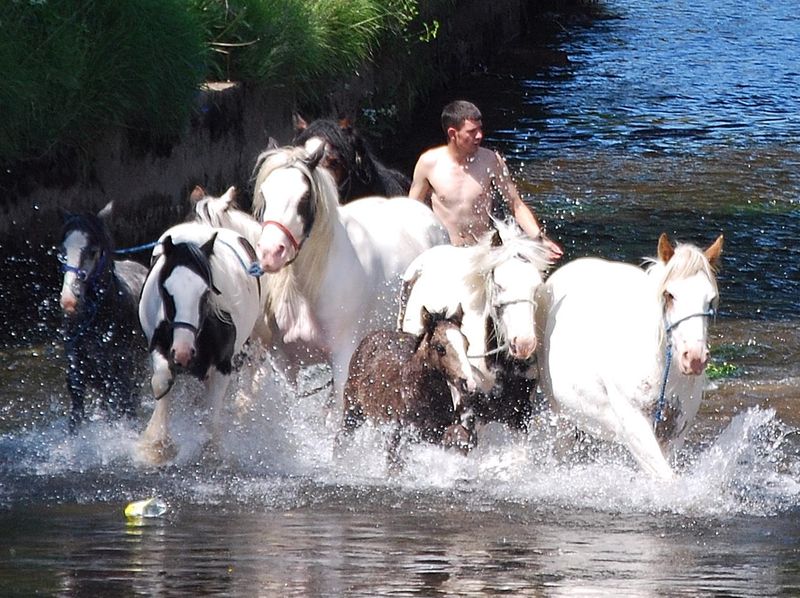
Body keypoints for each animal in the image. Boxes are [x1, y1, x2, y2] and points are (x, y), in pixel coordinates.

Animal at [58, 206, 150, 432]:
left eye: (92, 251)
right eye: (62, 252)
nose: (69, 301)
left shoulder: (122, 375)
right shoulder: (77, 373)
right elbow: (76, 414)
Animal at [135, 223, 266, 466]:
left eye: (205, 293)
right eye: (165, 290)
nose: (183, 352)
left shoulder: (224, 364)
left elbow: (214, 405)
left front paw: (210, 451)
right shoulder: (159, 346)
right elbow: (162, 382)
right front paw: (156, 446)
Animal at [536, 232, 724, 480]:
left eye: (710, 299)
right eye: (670, 294)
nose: (694, 358)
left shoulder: (674, 431)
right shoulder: (633, 423)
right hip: (562, 413)